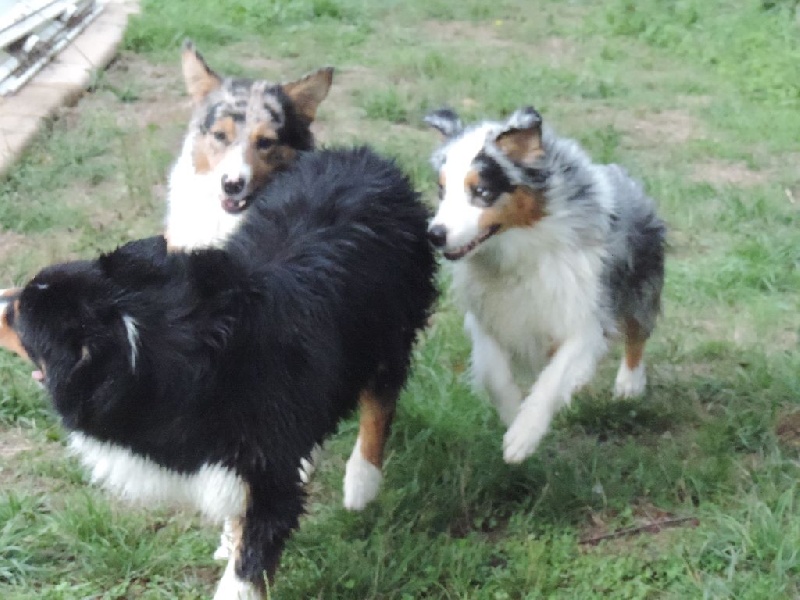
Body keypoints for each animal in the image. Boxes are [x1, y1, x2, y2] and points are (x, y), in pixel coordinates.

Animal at [0, 146, 438, 600]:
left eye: (20, 316)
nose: (0, 297)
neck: (143, 336)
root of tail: (367, 158)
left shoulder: (265, 472)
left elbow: (249, 563)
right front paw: (231, 538)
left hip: (389, 323)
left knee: (380, 398)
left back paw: (361, 483)